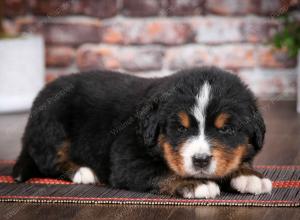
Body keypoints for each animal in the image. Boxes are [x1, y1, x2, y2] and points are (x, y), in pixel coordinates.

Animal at [12, 66, 274, 198]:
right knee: (48, 161)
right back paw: (82, 171)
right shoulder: (127, 159)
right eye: (180, 128)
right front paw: (195, 183)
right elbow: (162, 171)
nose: (200, 160)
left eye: (226, 129)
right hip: (53, 124)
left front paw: (249, 176)